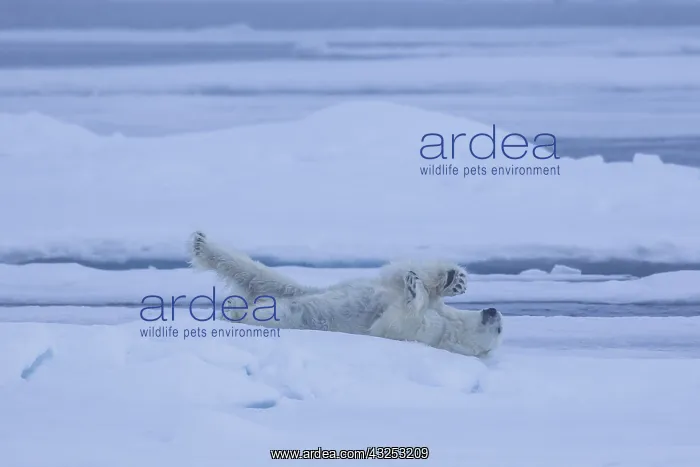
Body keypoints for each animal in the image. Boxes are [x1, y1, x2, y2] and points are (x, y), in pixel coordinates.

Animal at [188, 231, 503, 357]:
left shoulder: (425, 334)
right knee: (260, 274)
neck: (453, 325)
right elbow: (398, 274)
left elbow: (392, 323)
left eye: (500, 329)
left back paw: (233, 305)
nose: (493, 310)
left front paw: (415, 291)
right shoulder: (402, 294)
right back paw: (201, 243)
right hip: (295, 289)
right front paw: (452, 279)